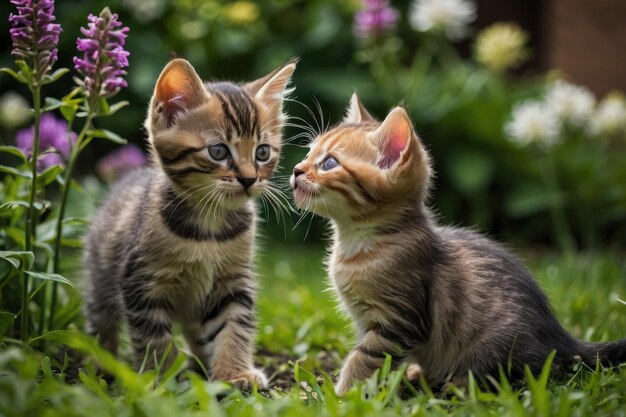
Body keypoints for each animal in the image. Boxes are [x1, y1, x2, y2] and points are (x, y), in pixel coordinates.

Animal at [83, 57, 294, 388]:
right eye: (218, 151)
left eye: (262, 152)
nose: (249, 179)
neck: (210, 224)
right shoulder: (141, 281)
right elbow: (153, 335)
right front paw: (160, 378)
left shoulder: (232, 279)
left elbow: (234, 323)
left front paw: (234, 373)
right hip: (100, 275)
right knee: (100, 321)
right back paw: (100, 363)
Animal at [290, 93, 624, 394]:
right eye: (308, 154)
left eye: (329, 162)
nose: (295, 170)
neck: (357, 240)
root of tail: (560, 337)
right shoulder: (367, 321)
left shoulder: (399, 321)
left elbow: (364, 359)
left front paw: (342, 395)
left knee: (534, 371)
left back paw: (461, 383)